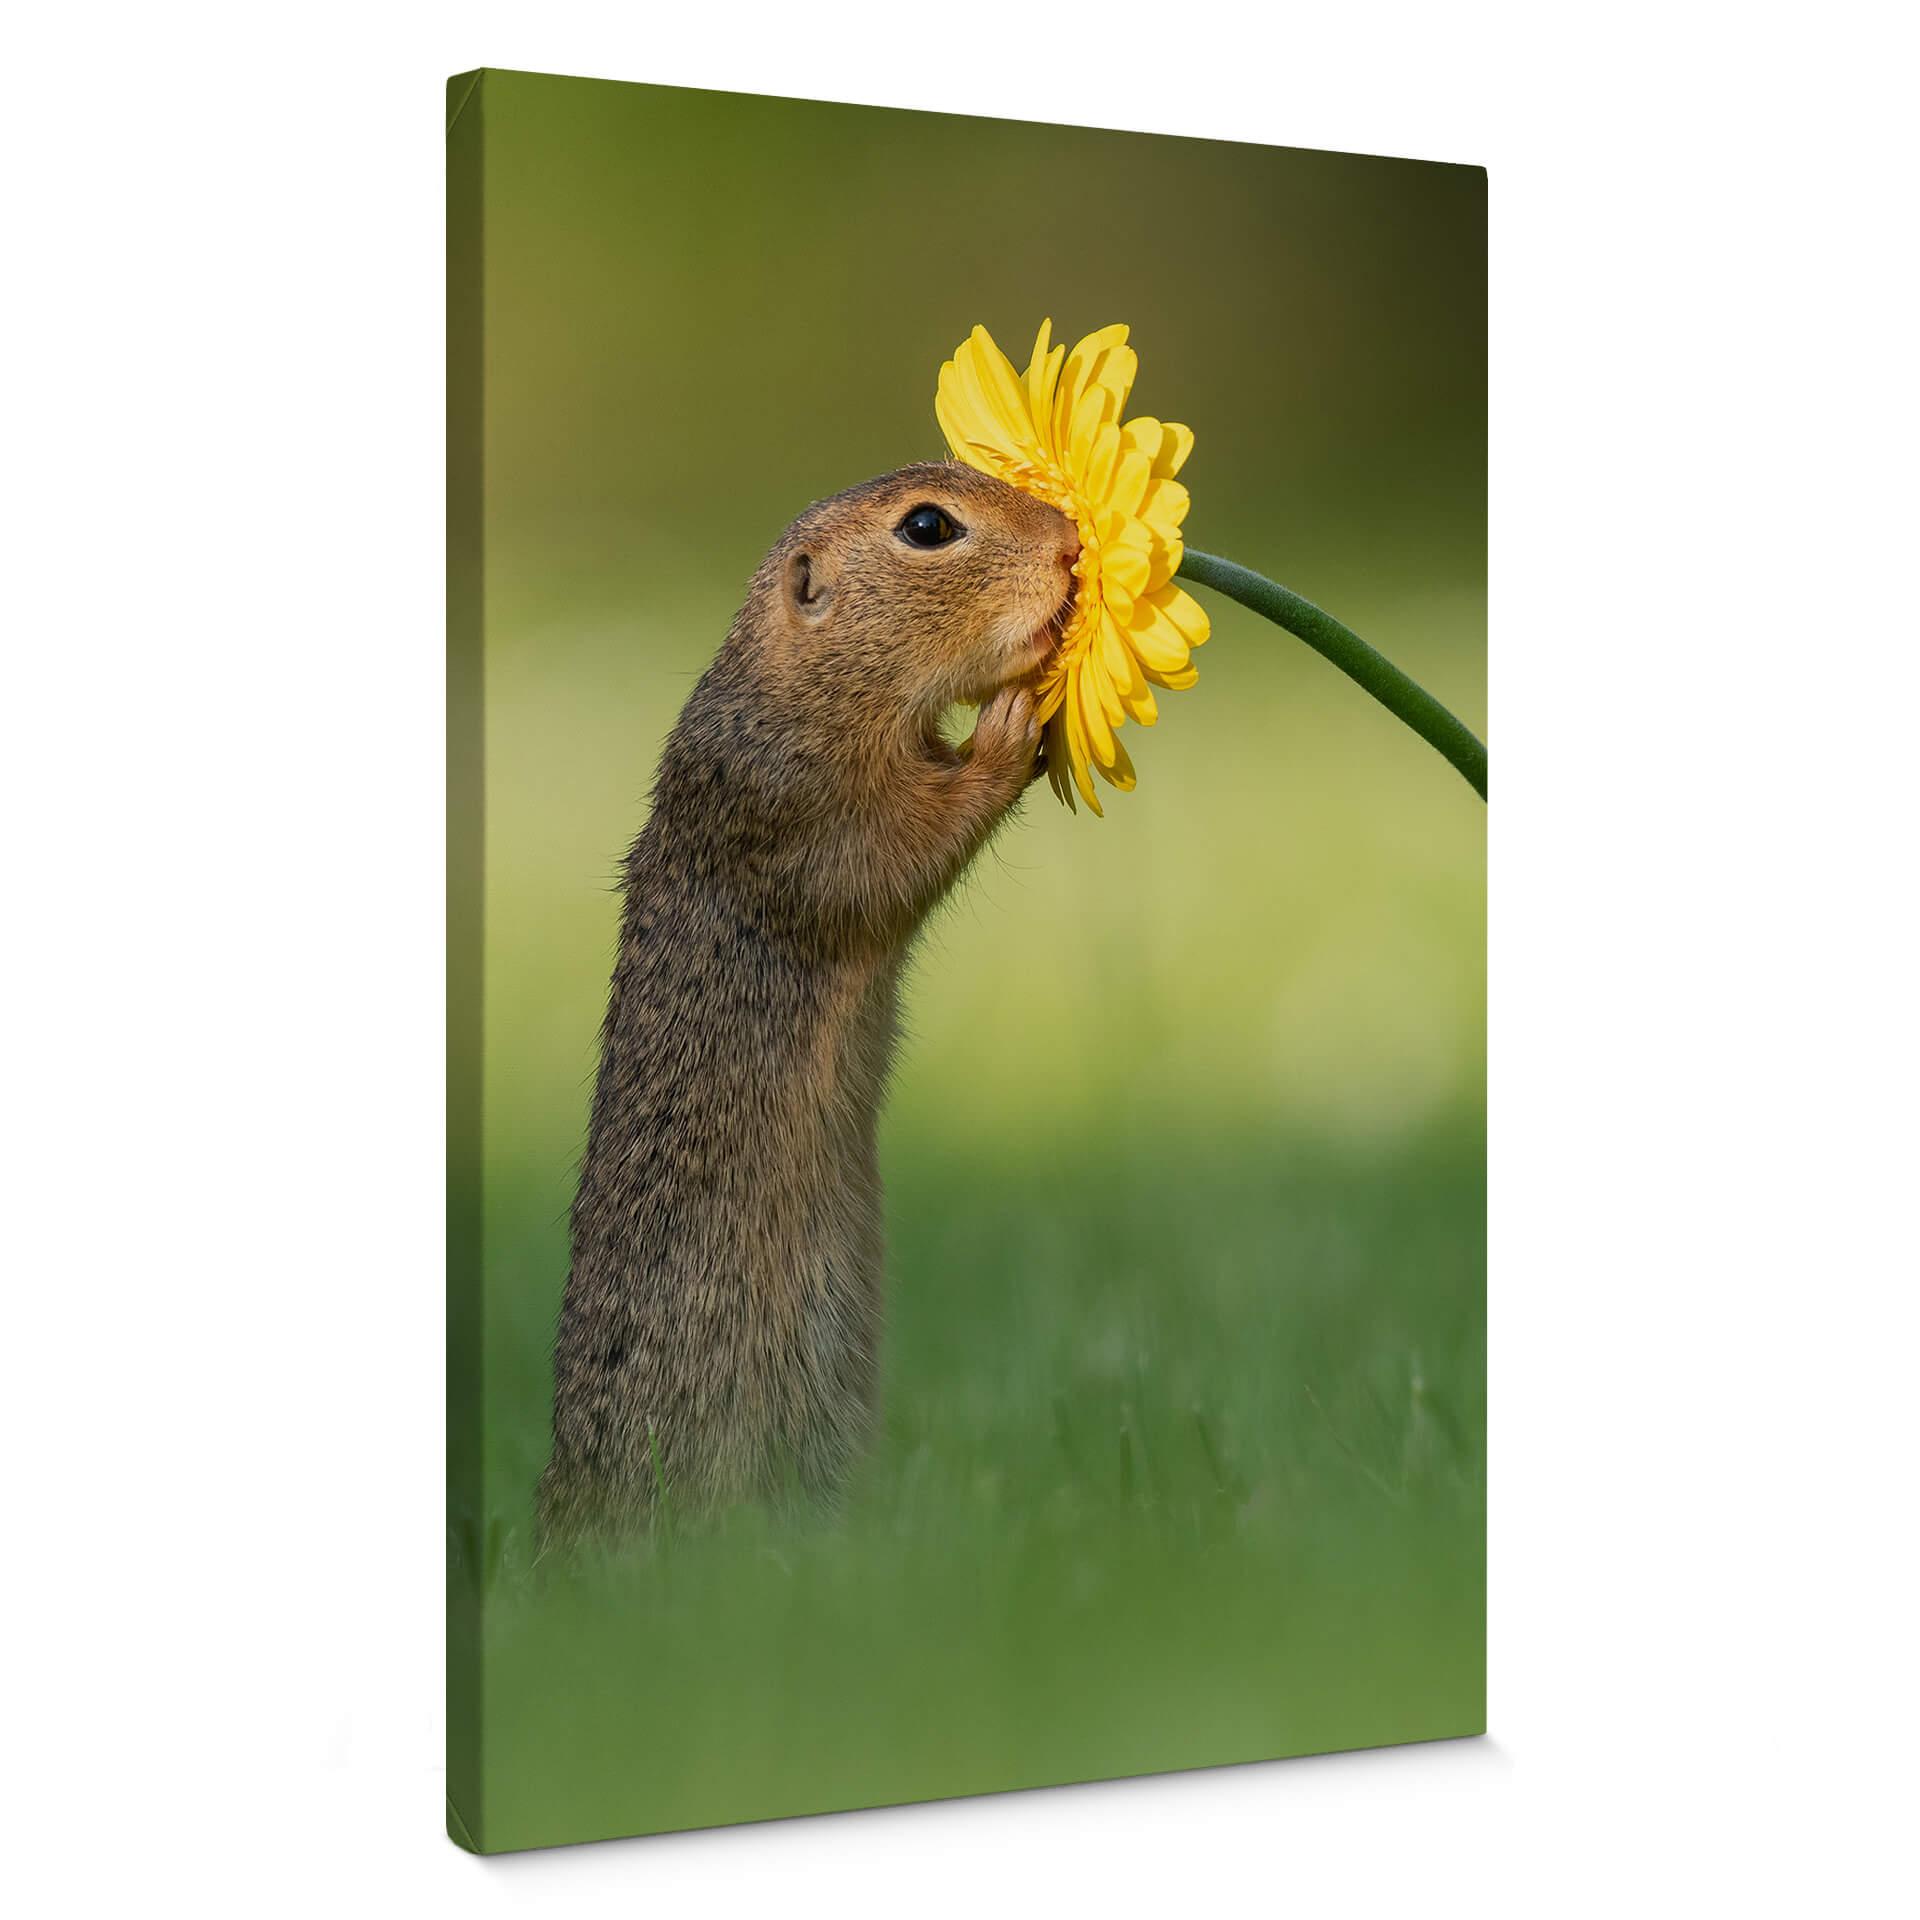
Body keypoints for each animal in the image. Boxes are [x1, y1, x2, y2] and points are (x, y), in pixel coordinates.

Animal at [537, 463, 1080, 1543]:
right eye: (928, 527)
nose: (1072, 543)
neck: (799, 684)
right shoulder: (804, 810)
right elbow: (905, 847)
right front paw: (1009, 727)